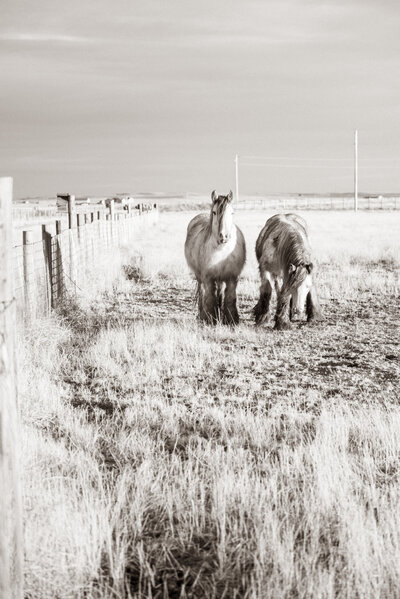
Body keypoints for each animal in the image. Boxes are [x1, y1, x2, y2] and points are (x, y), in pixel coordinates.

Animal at [185, 191, 247, 324]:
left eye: (232, 212)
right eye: (214, 212)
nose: (223, 236)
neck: (222, 251)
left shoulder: (232, 277)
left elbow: (230, 298)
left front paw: (231, 320)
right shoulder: (208, 278)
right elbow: (210, 299)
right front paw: (210, 318)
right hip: (200, 277)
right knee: (202, 293)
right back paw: (202, 315)